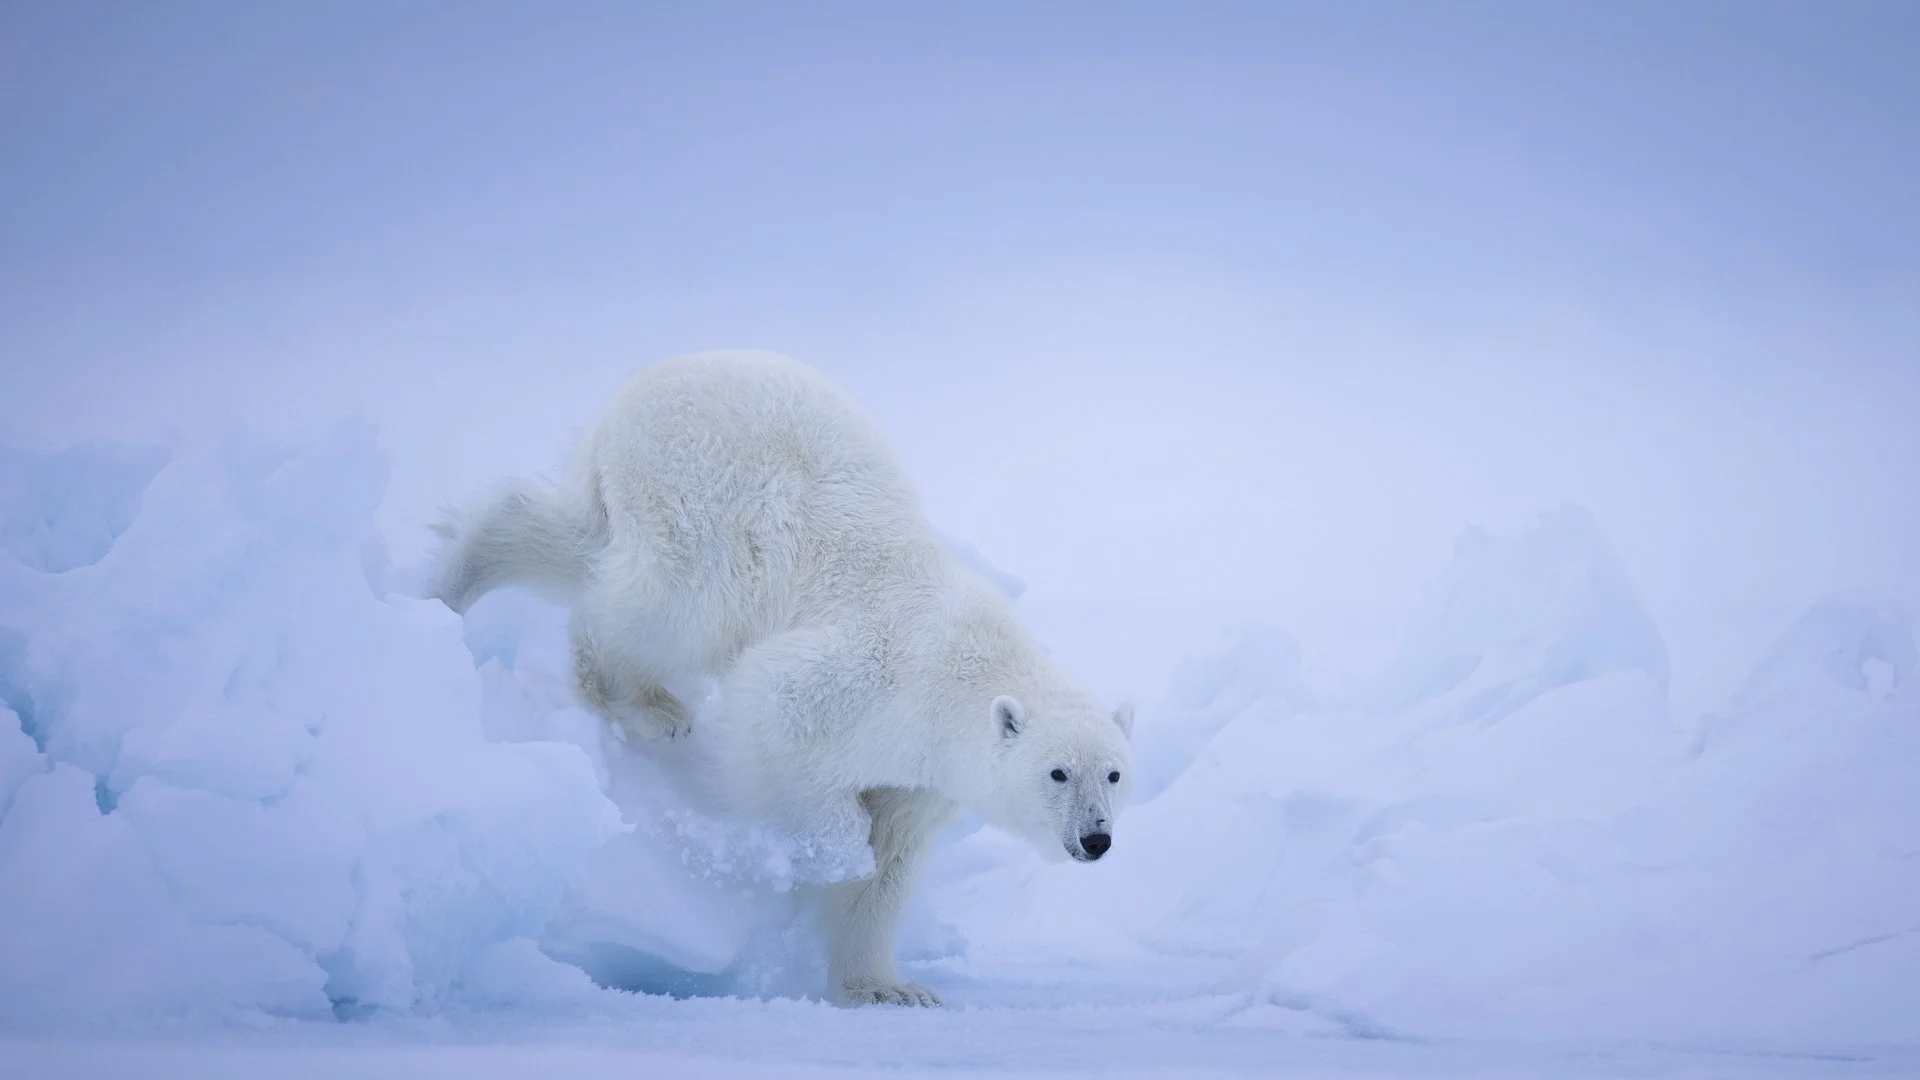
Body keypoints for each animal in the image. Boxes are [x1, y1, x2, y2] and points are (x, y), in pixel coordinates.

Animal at [430, 350, 1135, 1007]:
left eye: (1114, 774)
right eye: (1058, 773)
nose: (1096, 838)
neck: (964, 669)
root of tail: (637, 389)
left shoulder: (922, 777)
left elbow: (891, 865)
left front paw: (889, 988)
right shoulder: (869, 677)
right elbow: (780, 713)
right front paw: (833, 851)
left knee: (577, 538)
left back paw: (466, 566)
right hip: (699, 492)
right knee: (670, 599)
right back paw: (642, 700)